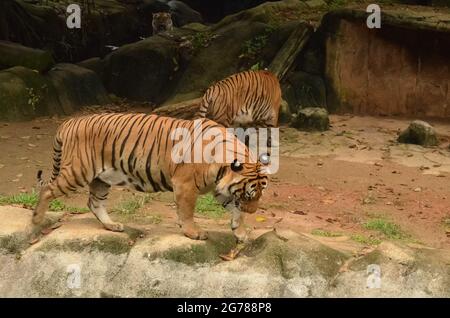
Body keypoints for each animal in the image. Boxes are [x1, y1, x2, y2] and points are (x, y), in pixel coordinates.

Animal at [34, 113, 270, 241]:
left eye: (259, 194)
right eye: (249, 195)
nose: (253, 211)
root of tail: (69, 122)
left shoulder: (222, 190)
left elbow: (235, 212)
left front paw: (241, 233)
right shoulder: (185, 184)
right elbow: (187, 211)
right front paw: (193, 233)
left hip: (101, 179)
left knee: (94, 203)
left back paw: (112, 226)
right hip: (78, 171)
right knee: (46, 190)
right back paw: (37, 221)